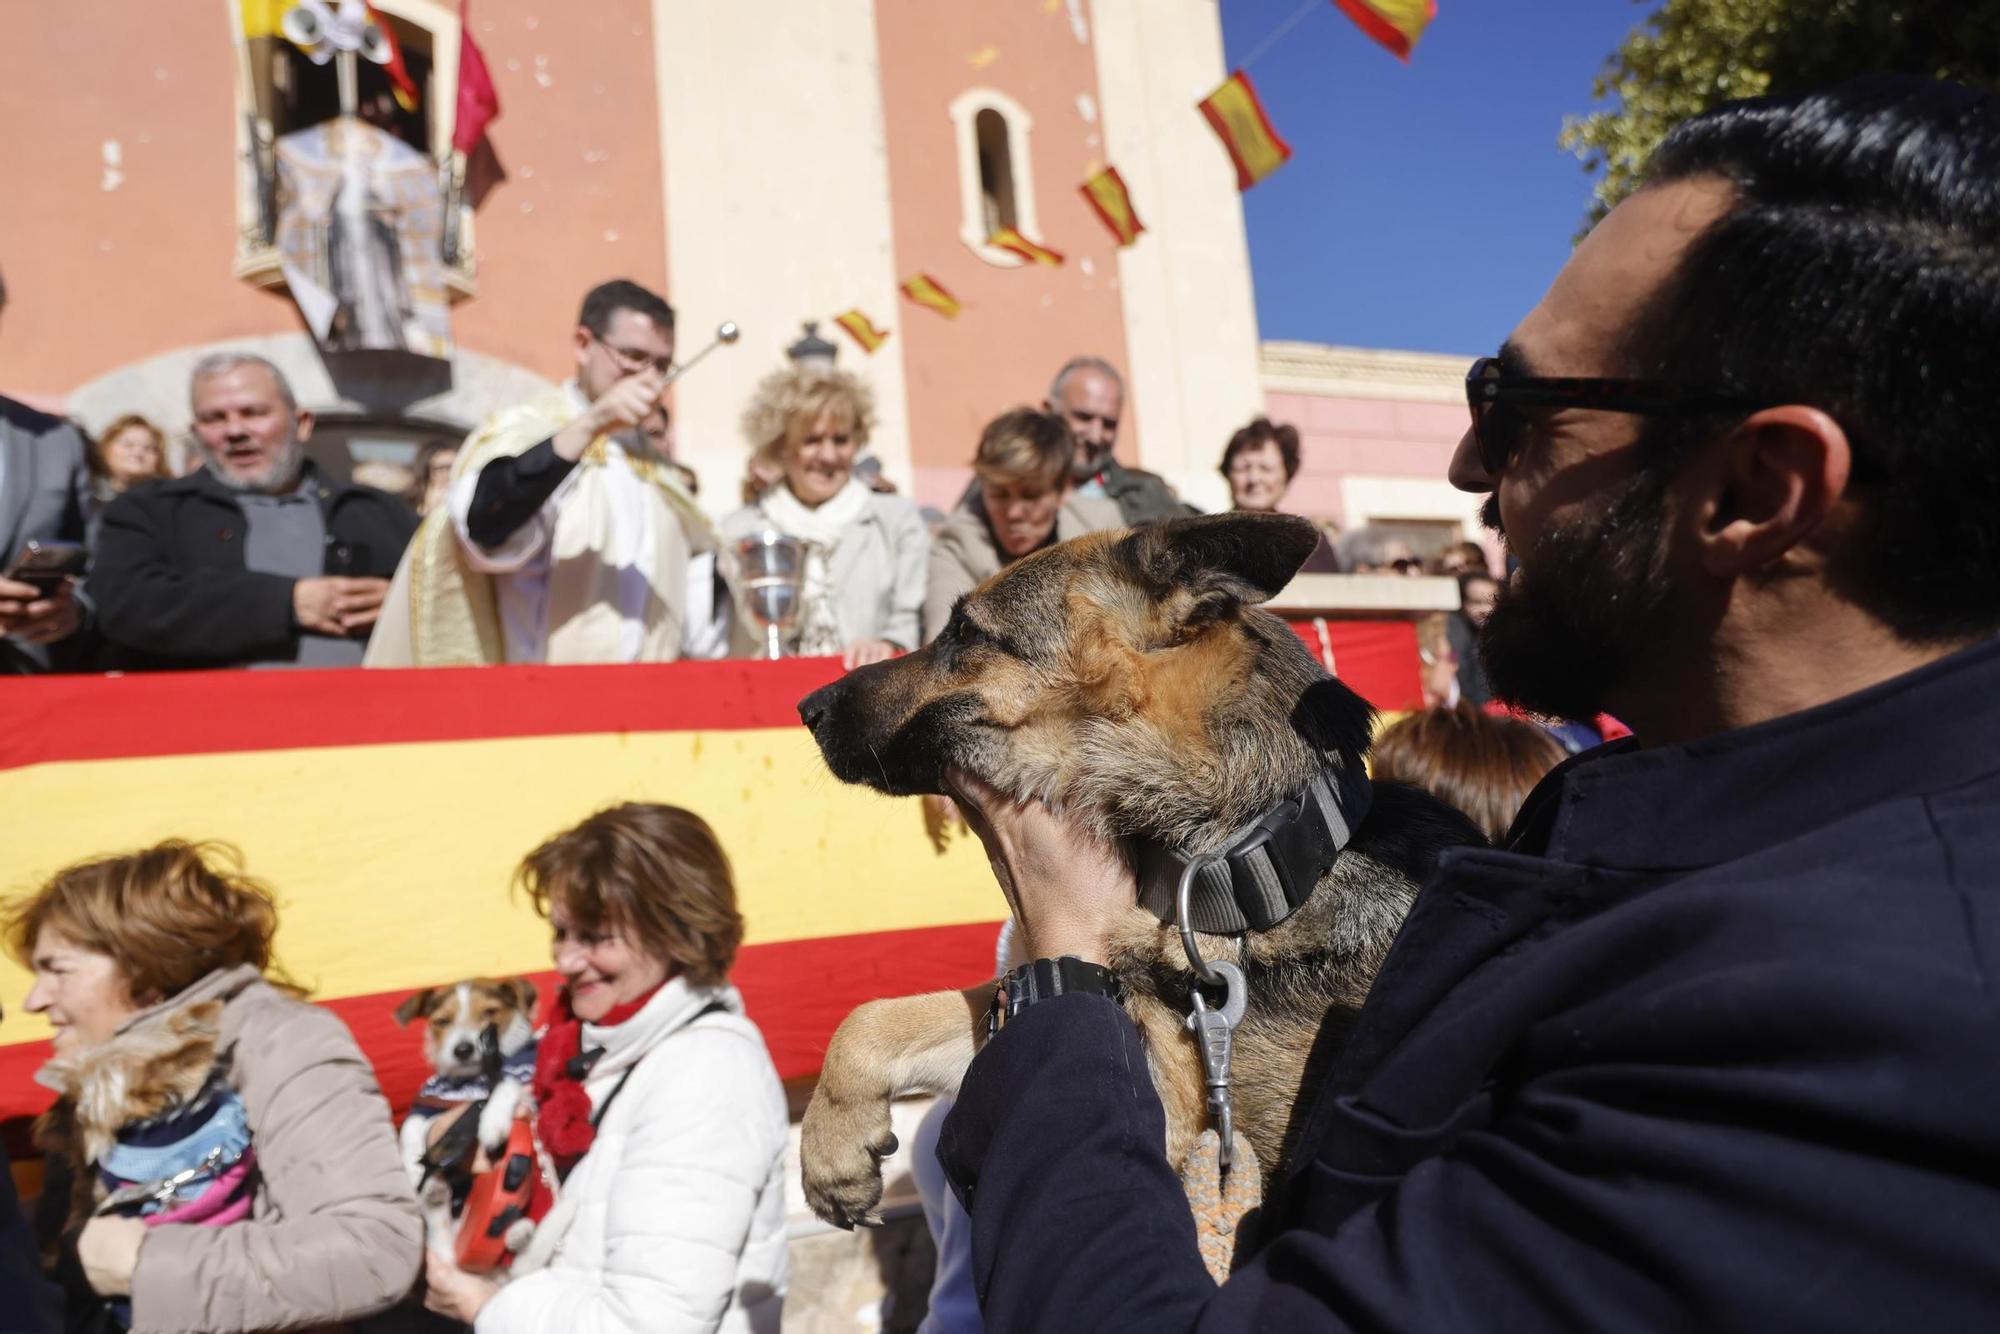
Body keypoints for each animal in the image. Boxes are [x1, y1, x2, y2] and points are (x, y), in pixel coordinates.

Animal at [392, 976, 540, 1248]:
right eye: (442, 1021)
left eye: (490, 1012)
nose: (463, 1050)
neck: (472, 1079)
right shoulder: (429, 1102)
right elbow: (411, 1124)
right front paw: (413, 1168)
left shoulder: (528, 1089)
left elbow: (507, 1084)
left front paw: (492, 1123)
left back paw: (519, 1232)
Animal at [792, 516, 1472, 1240]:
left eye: (965, 634)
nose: (807, 705)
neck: (1241, 861)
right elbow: (876, 1016)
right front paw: (832, 1149)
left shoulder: (1178, 1140)